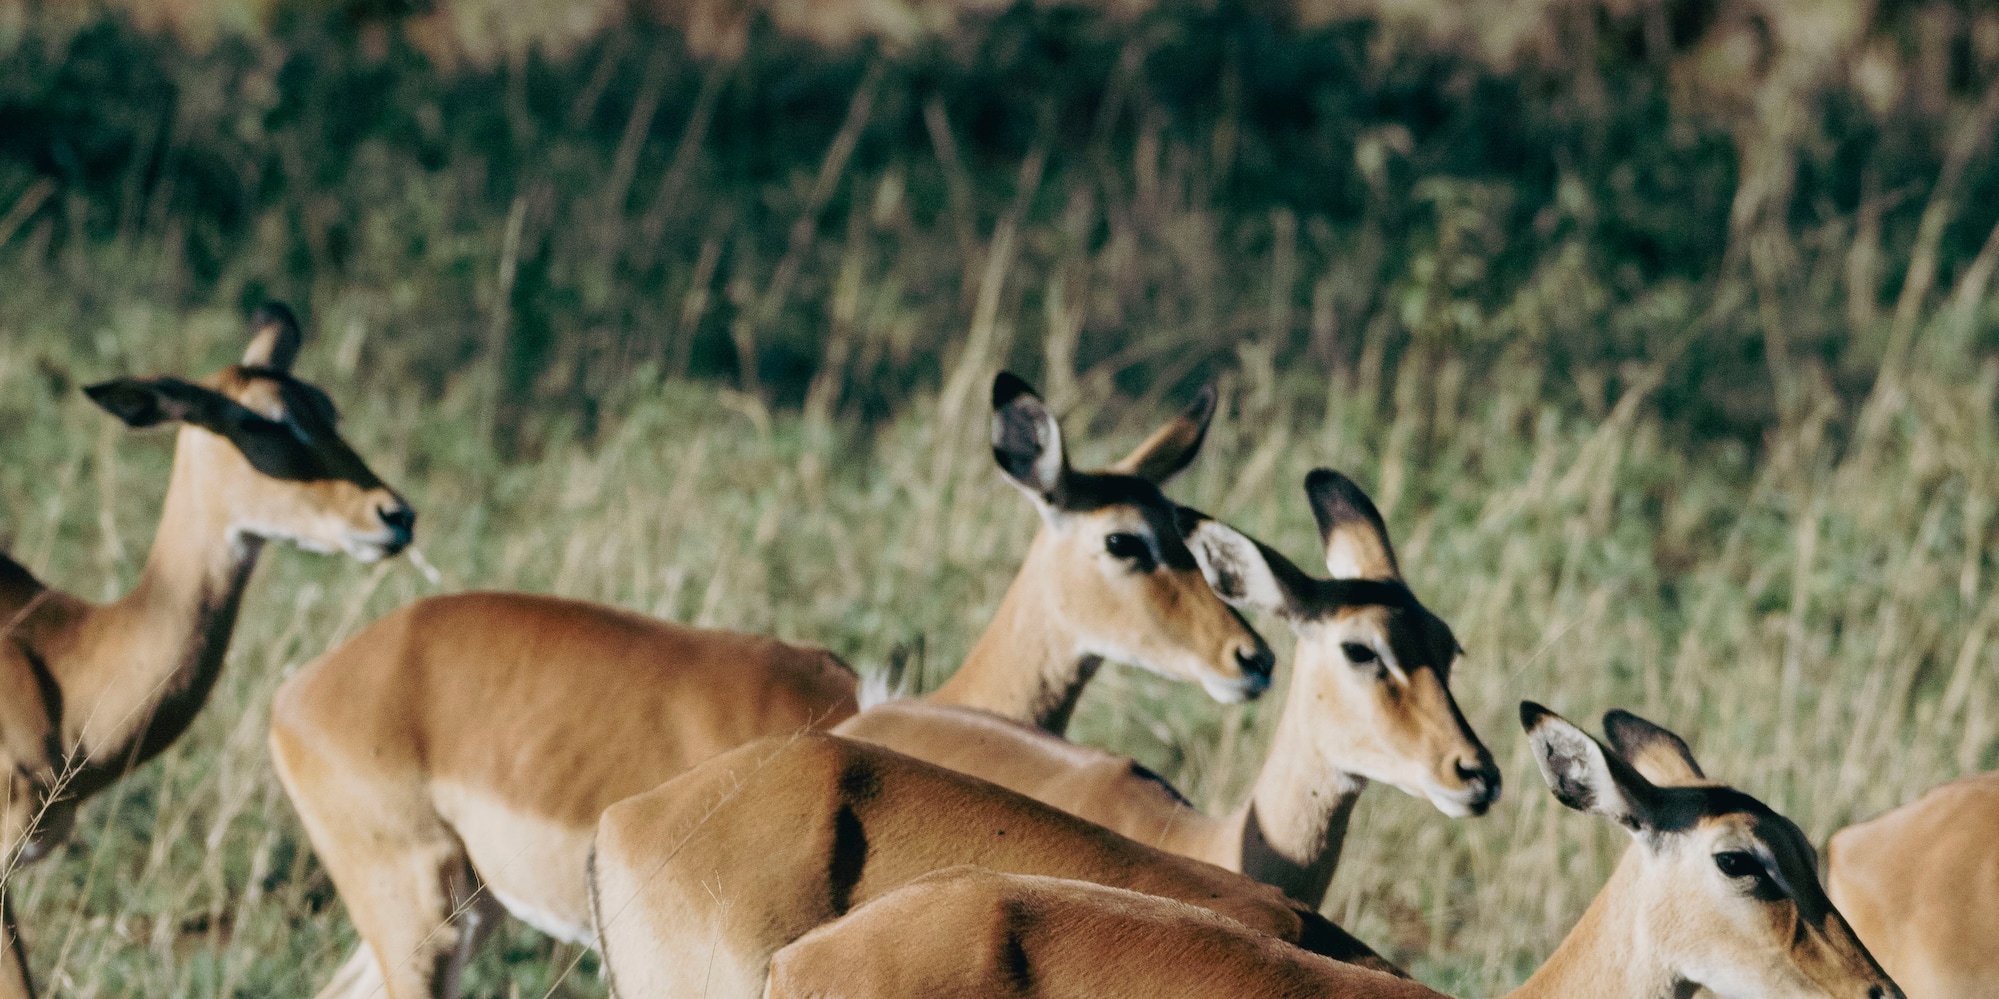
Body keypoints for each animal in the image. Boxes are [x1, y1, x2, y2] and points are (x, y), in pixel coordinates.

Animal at [269, 371, 1273, 999]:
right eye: (1124, 540)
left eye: (1188, 534)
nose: (1251, 657)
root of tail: (308, 682)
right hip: (424, 915)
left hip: (455, 912)